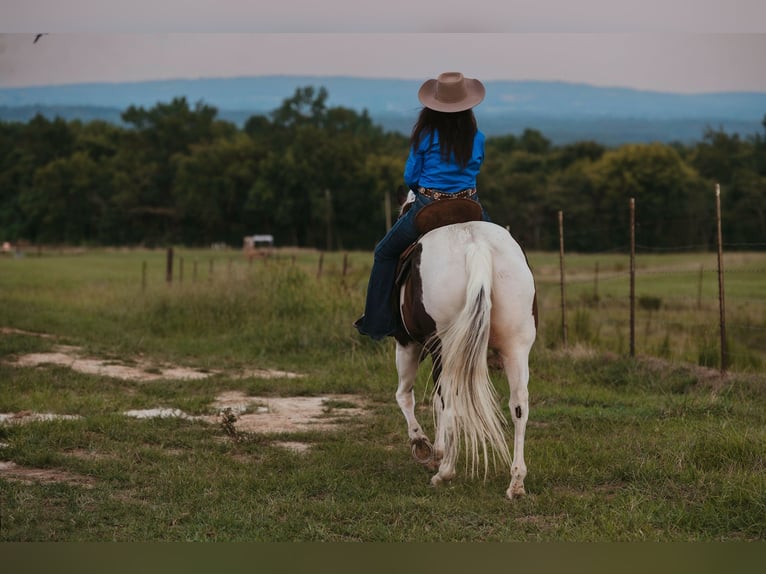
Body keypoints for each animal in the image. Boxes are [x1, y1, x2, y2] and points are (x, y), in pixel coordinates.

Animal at [392, 194, 536, 500]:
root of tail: (476, 246)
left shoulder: (407, 342)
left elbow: (406, 395)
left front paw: (424, 446)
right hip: (516, 347)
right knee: (519, 404)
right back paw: (516, 482)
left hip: (446, 348)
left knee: (449, 401)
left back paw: (445, 473)